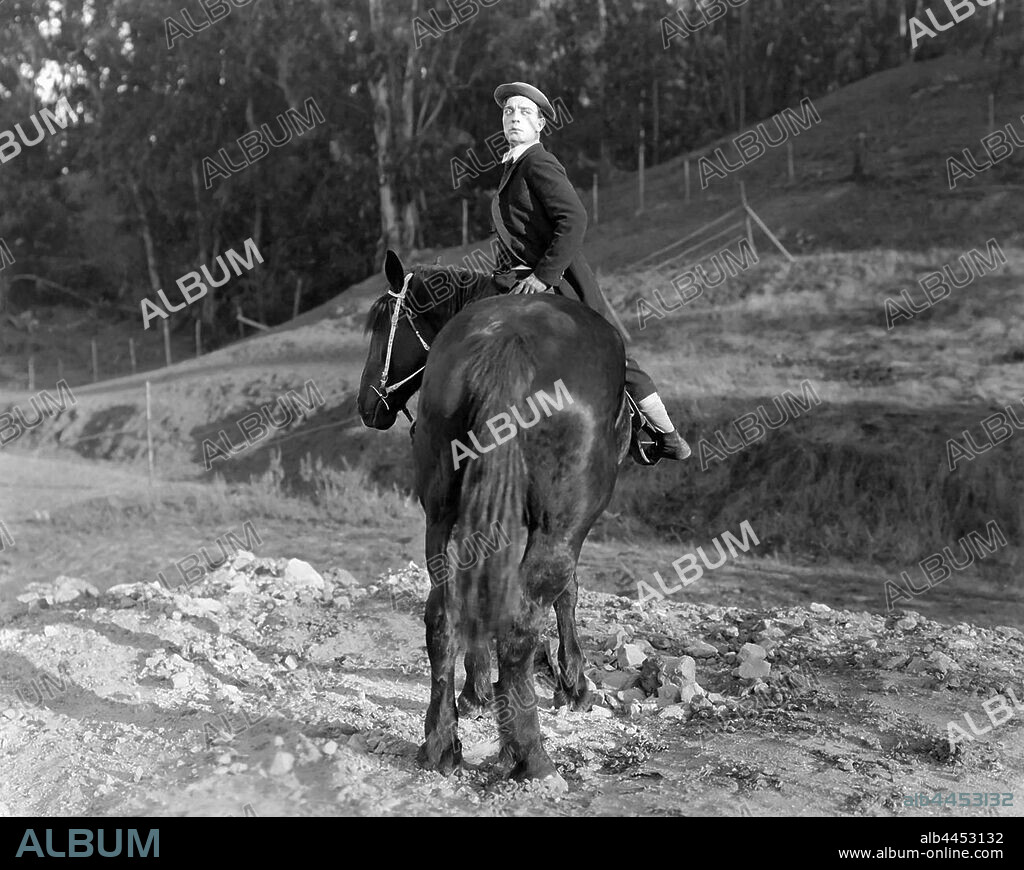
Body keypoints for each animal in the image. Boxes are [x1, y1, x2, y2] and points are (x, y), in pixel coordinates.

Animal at [360, 248, 630, 786]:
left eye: (383, 327)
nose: (365, 404)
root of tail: (510, 347)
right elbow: (566, 592)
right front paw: (573, 683)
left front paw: (477, 691)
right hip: (563, 520)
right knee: (522, 622)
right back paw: (530, 755)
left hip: (441, 513)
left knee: (442, 615)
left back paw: (440, 742)